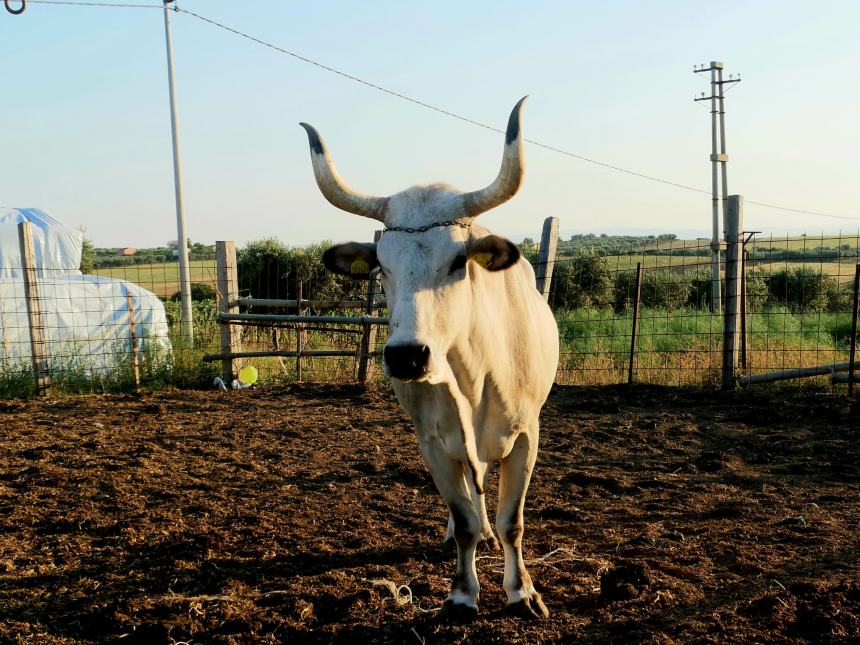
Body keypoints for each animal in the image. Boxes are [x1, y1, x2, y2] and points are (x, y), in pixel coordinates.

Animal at [298, 97, 560, 620]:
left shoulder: (526, 437)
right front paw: (462, 593)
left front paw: (522, 592)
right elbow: (464, 520)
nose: (407, 357)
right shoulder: (434, 445)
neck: (473, 376)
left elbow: (513, 522)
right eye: (381, 266)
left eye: (458, 261)